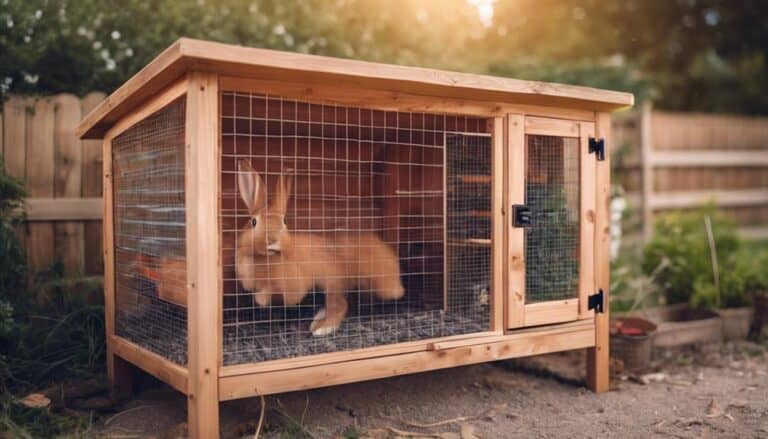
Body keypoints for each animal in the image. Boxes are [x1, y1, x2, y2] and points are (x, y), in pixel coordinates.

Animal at [235, 160, 405, 336]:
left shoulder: (293, 286)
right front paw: (260, 300)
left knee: (340, 305)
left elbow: (276, 293)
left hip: (331, 284)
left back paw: (322, 328)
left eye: (284, 221)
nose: (272, 240)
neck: (266, 259)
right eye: (254, 222)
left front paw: (261, 299)